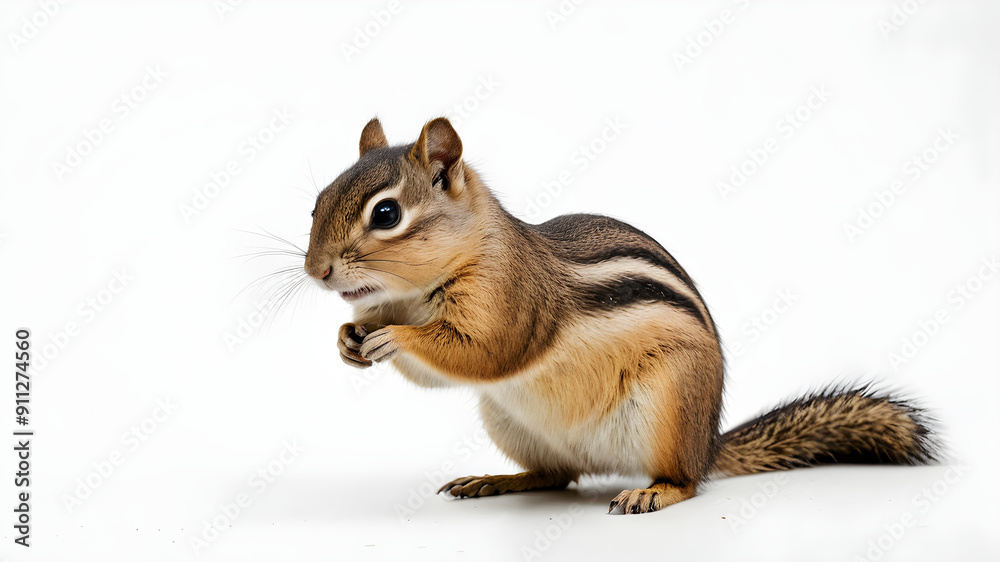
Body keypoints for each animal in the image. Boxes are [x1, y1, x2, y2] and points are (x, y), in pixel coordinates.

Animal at [303, 117, 938, 514]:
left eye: (387, 214)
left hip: (667, 406)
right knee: (557, 474)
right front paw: (347, 337)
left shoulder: (511, 304)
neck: (415, 293)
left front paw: (392, 337)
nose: (315, 270)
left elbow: (486, 353)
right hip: (510, 422)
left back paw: (653, 494)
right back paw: (496, 479)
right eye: (317, 202)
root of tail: (707, 443)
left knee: (686, 482)